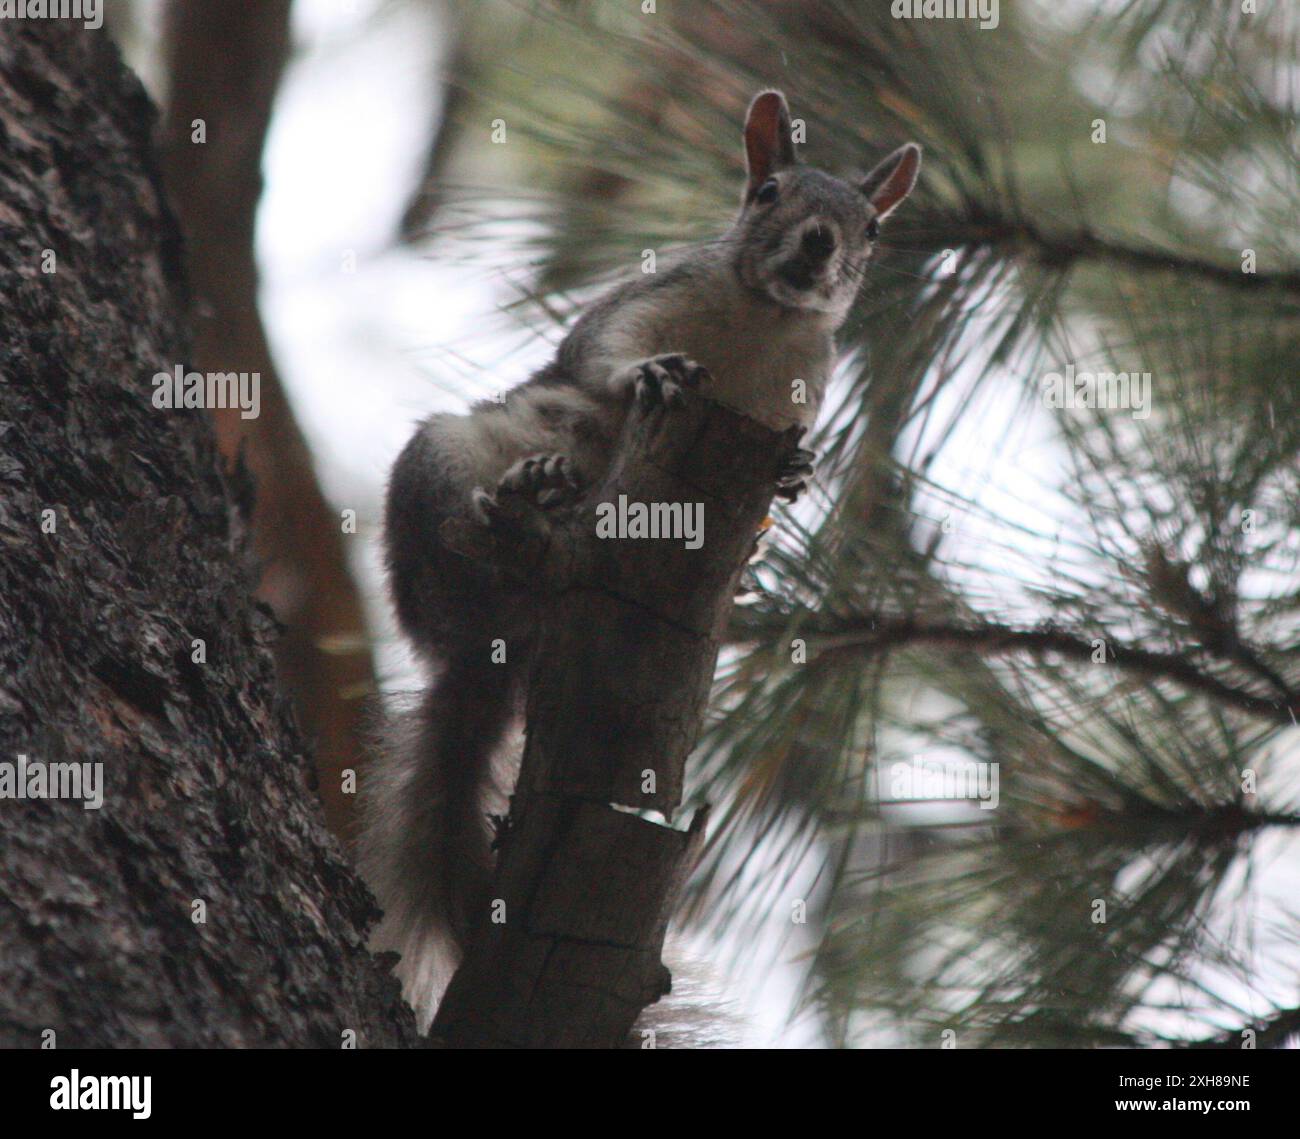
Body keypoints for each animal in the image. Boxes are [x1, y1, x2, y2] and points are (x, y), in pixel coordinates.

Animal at [361, 89, 920, 1029]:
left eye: (872, 229)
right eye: (768, 192)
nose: (819, 244)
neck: (763, 321)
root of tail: (484, 652)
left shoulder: (801, 390)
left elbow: (788, 466)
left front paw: (795, 483)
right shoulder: (643, 301)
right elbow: (604, 358)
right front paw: (646, 377)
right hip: (445, 471)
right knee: (460, 532)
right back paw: (525, 493)